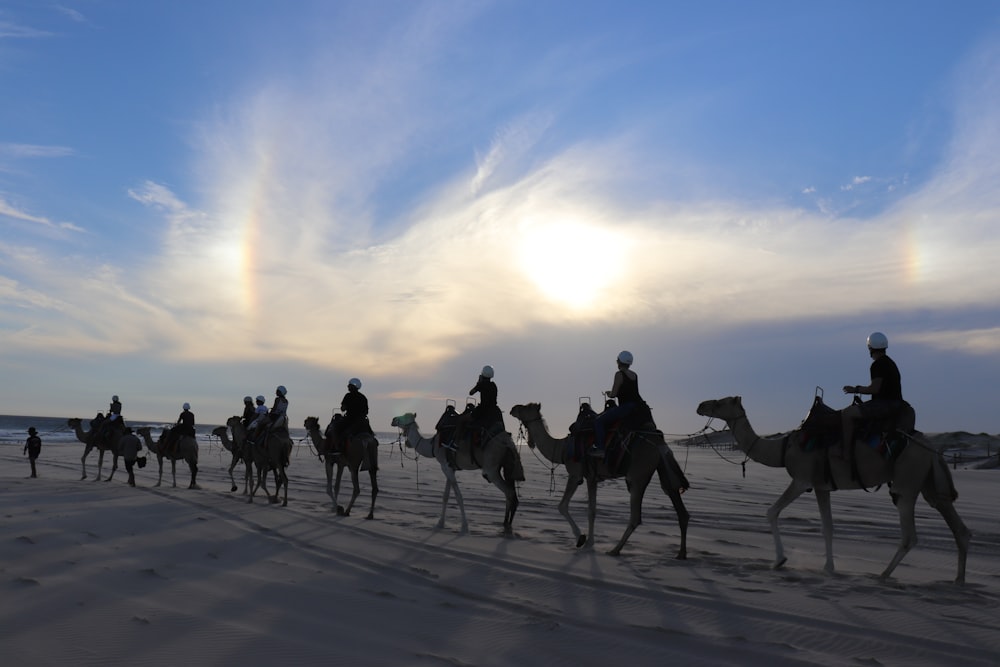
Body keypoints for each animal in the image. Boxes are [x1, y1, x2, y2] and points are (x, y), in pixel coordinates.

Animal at [392, 412, 524, 536]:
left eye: (404, 417)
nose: (393, 419)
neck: (433, 445)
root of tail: (508, 441)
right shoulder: (449, 467)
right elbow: (445, 496)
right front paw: (440, 523)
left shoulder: (446, 467)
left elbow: (458, 496)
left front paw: (464, 527)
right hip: (506, 465)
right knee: (511, 493)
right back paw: (506, 526)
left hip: (492, 469)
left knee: (509, 493)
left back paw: (506, 525)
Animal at [512, 402, 692, 560]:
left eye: (525, 407)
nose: (513, 408)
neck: (561, 449)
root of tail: (660, 444)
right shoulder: (592, 478)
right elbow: (592, 511)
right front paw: (590, 542)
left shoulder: (576, 474)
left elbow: (563, 506)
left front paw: (581, 539)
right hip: (663, 469)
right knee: (679, 506)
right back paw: (681, 554)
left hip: (637, 476)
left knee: (636, 516)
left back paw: (615, 550)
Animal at [696, 400, 968, 580]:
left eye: (720, 403)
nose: (700, 405)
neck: (783, 449)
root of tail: (932, 448)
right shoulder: (821, 486)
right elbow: (828, 526)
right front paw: (828, 567)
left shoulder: (803, 479)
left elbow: (772, 512)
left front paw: (780, 560)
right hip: (929, 483)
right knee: (958, 526)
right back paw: (958, 581)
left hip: (907, 482)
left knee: (910, 534)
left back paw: (882, 575)